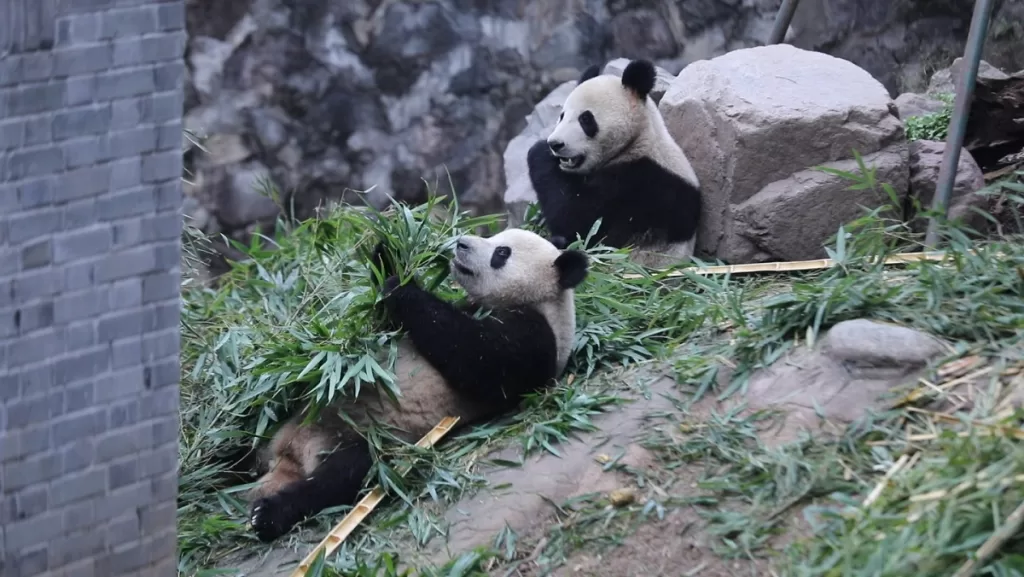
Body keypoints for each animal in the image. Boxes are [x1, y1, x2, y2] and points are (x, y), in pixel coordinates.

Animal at [245, 227, 589, 543]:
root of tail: (288, 455)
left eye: (501, 253)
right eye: (493, 235)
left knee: (343, 475)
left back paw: (267, 514)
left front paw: (400, 284)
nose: (461, 243)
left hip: (365, 439)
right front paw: (387, 252)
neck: (544, 302)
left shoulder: (534, 339)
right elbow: (386, 329)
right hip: (281, 424)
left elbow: (477, 357)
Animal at [526, 59, 703, 268]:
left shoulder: (638, 186)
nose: (555, 144)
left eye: (586, 119)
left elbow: (577, 219)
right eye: (562, 115)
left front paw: (538, 151)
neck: (636, 142)